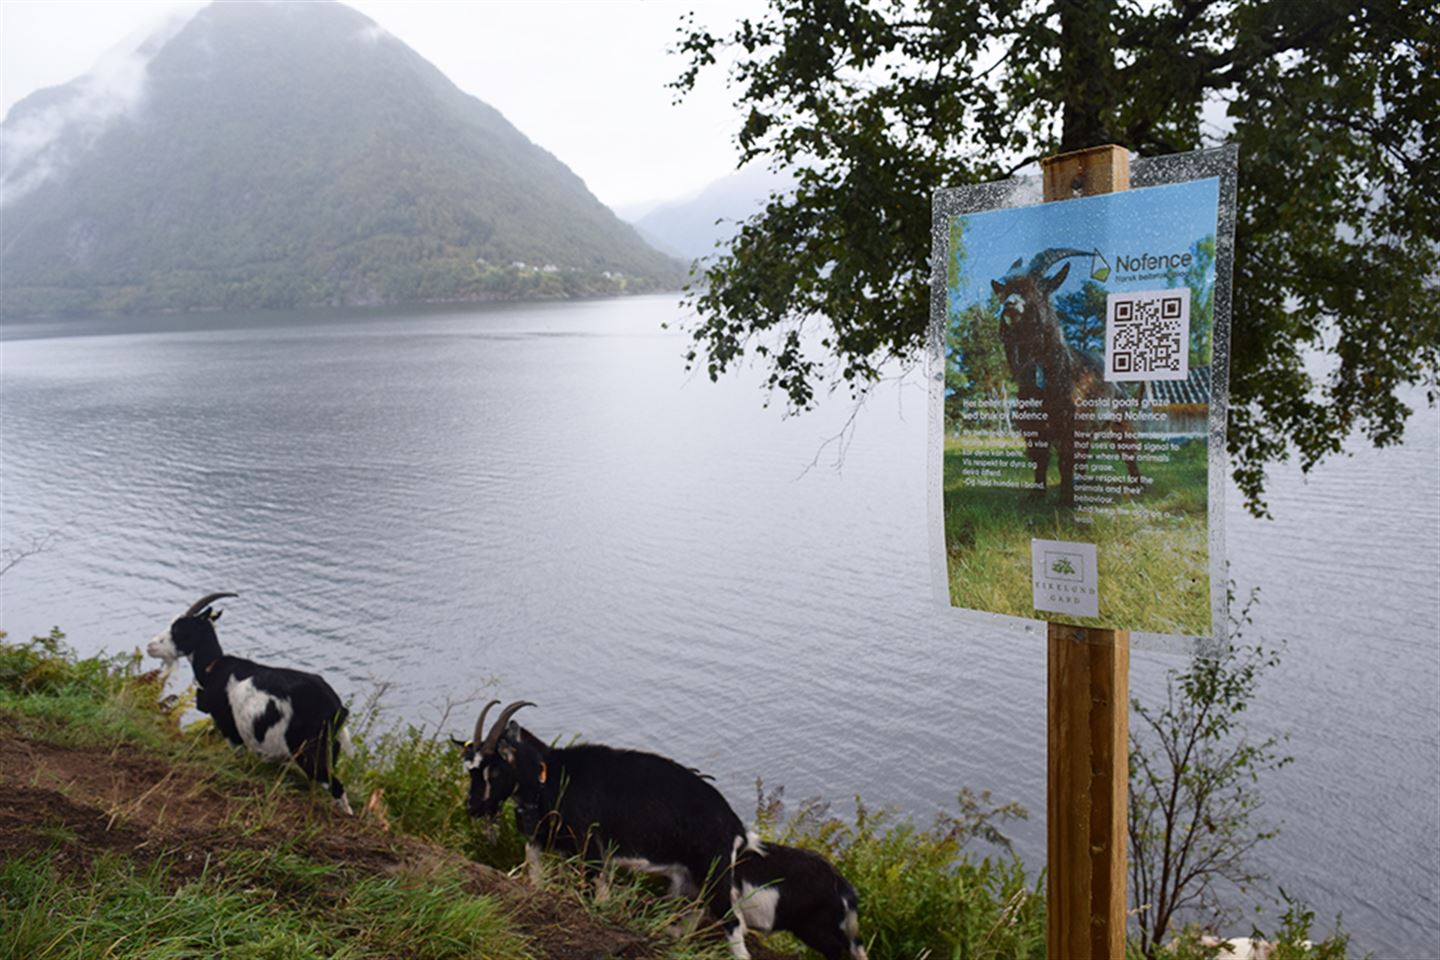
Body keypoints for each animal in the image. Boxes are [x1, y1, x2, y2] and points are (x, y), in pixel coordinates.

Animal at [144, 592, 352, 817]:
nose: (150, 646)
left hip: (310, 748)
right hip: (329, 747)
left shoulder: (230, 730)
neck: (213, 668)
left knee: (335, 785)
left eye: (179, 630)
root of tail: (337, 708)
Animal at [457, 702, 754, 955]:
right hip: (691, 877)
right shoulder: (550, 840)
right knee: (697, 909)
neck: (552, 776)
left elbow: (596, 893)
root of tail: (734, 824)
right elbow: (535, 870)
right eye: (470, 770)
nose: (474, 808)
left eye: (495, 771)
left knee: (732, 921)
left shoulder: (591, 846)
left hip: (714, 871)